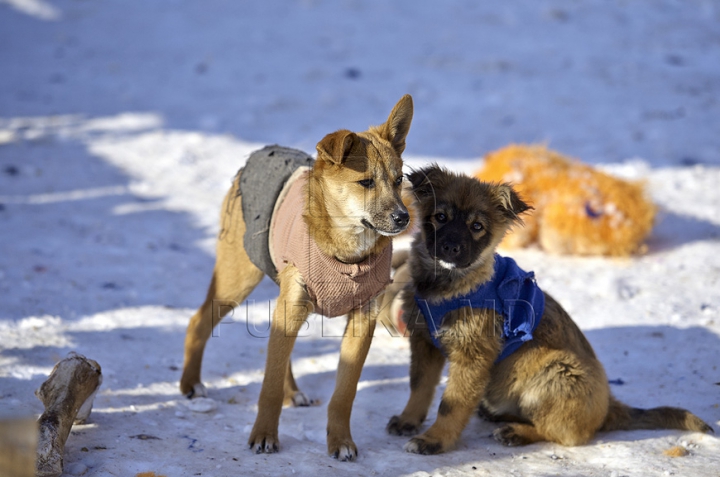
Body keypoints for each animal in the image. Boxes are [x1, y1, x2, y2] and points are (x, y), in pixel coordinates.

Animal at [183, 95, 414, 460]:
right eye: (366, 182)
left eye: (399, 179)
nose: (403, 218)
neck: (347, 253)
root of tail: (262, 152)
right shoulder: (292, 306)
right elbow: (269, 387)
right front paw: (264, 435)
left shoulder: (361, 320)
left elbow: (344, 393)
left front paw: (340, 441)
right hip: (237, 282)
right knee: (198, 322)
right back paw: (190, 384)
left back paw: (292, 392)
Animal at [386, 166, 712, 454]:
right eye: (440, 217)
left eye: (477, 227)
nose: (451, 248)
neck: (446, 287)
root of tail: (609, 407)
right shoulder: (424, 342)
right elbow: (420, 387)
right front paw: (409, 420)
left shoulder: (472, 357)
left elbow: (450, 405)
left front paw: (434, 440)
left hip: (557, 372)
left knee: (565, 433)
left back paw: (516, 432)